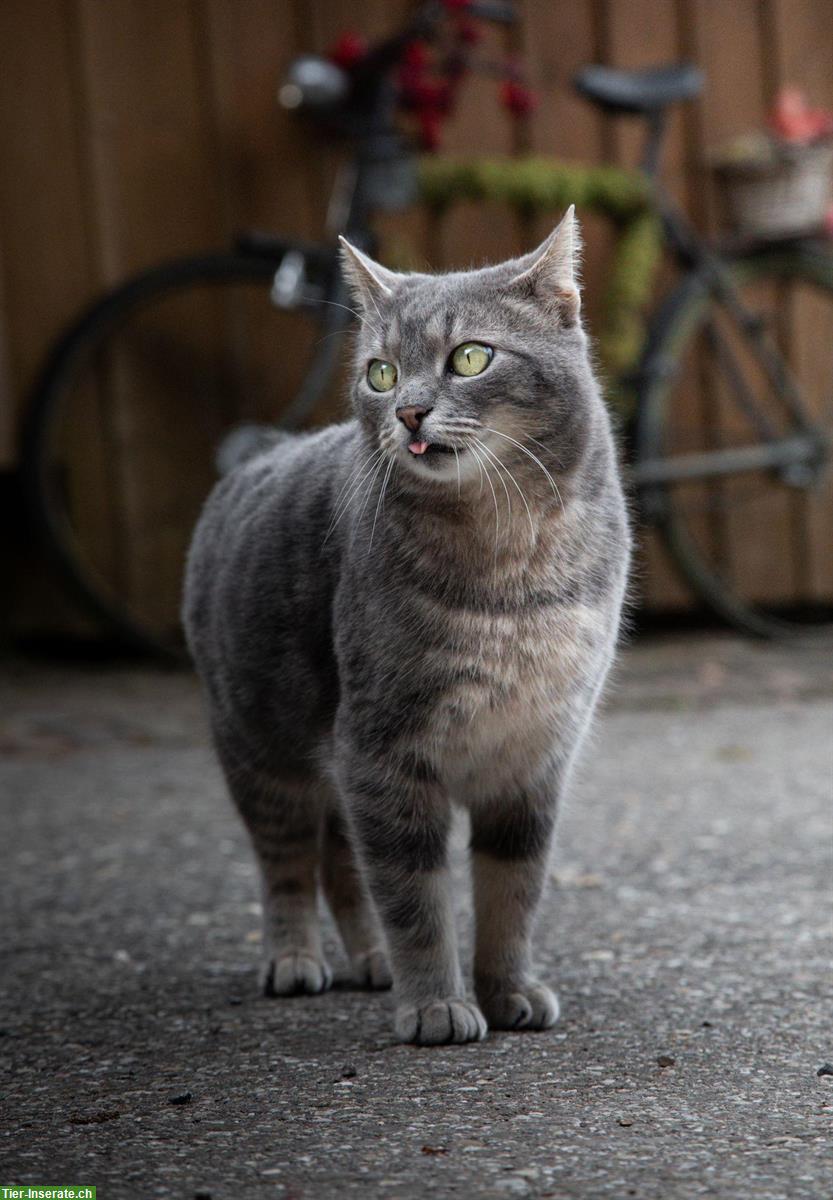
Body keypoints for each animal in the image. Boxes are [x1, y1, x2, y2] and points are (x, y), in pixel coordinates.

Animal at [182, 211, 624, 1046]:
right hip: (263, 751)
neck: (510, 562)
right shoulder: (383, 754)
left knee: (339, 865)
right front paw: (435, 1005)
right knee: (288, 866)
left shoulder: (533, 757)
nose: (407, 412)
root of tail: (264, 451)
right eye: (381, 373)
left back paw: (369, 962)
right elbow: (414, 897)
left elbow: (512, 893)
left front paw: (507, 990)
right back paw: (295, 959)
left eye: (470, 357)